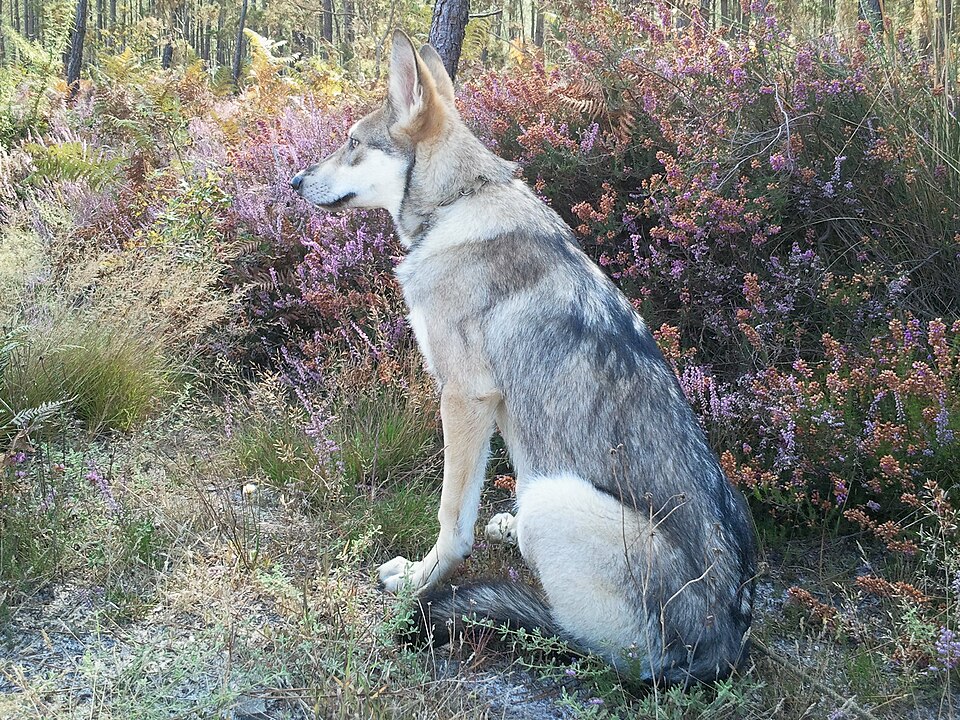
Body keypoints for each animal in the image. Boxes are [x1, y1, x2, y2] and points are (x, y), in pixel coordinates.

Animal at [291, 31, 755, 686]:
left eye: (352, 142)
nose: (294, 182)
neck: (460, 202)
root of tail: (722, 647)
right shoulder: (494, 410)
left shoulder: (464, 397)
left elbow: (451, 520)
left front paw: (418, 581)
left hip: (552, 500)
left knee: (579, 639)